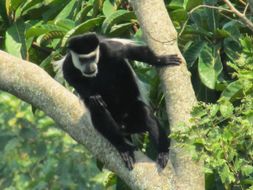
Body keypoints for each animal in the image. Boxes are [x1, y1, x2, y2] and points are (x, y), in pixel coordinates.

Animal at [61, 32, 181, 169]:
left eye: (92, 57)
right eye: (82, 60)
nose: (90, 67)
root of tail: (123, 125)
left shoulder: (109, 49)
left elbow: (132, 52)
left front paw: (161, 60)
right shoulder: (68, 64)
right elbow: (70, 78)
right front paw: (93, 96)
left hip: (133, 120)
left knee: (145, 112)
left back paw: (163, 152)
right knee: (98, 110)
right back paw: (124, 149)